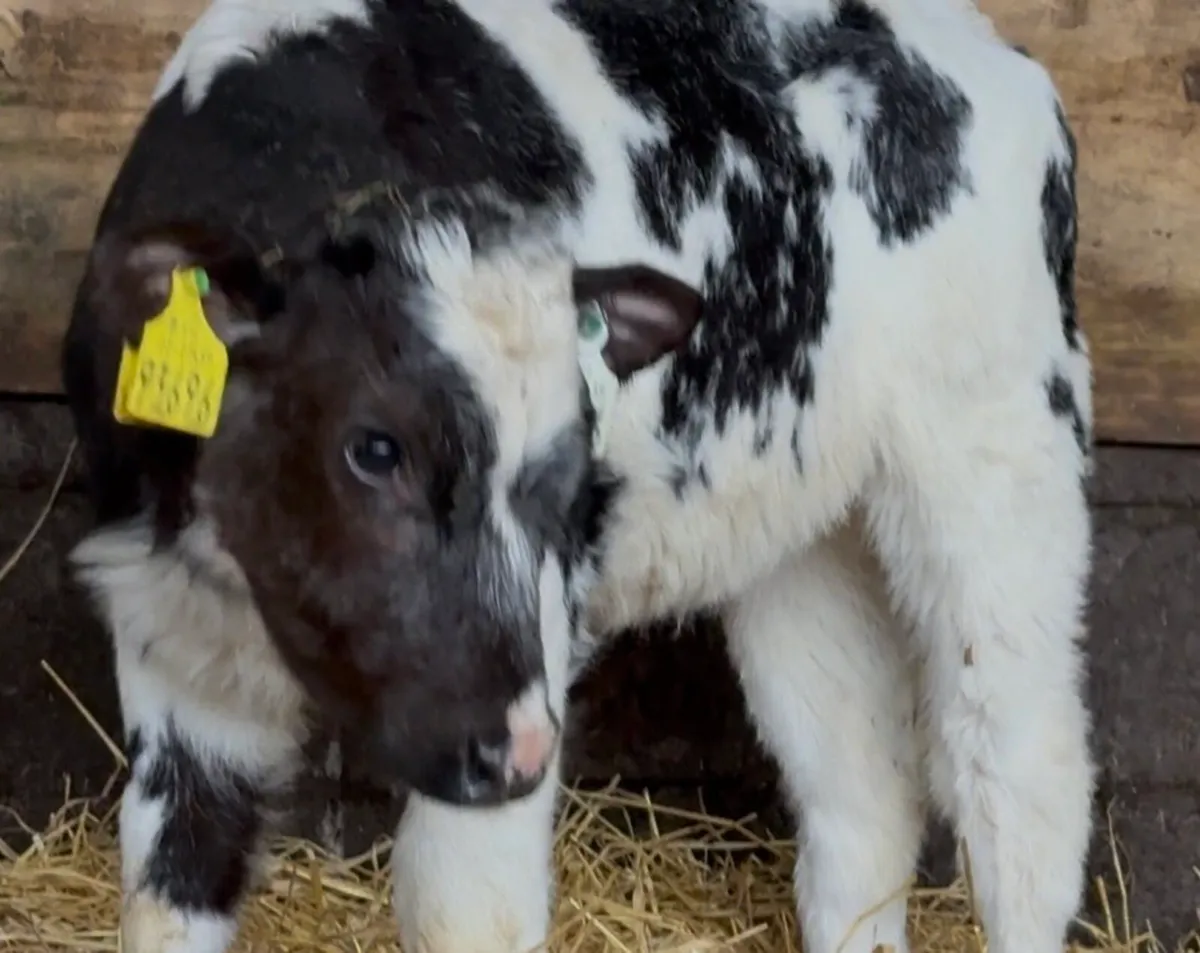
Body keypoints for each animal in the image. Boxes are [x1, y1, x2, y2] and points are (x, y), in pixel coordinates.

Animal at [60, 1, 1096, 953]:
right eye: (375, 447)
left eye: (571, 455)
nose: (520, 746)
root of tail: (1000, 59)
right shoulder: (170, 634)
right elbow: (170, 885)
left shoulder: (531, 642)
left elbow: (464, 911)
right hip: (796, 524)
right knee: (860, 784)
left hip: (998, 449)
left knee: (1019, 779)